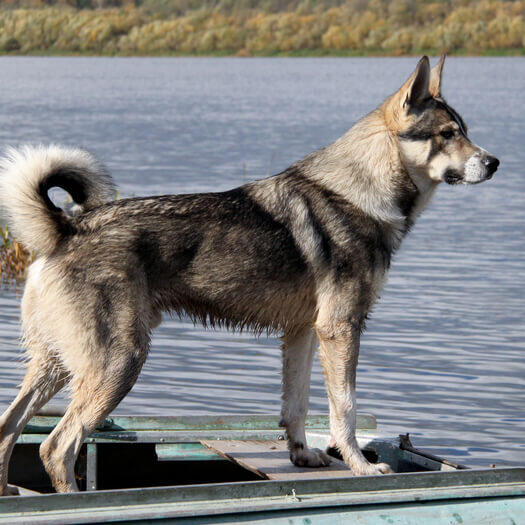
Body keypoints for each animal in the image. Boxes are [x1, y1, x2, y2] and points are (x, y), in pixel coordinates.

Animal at [0, 55, 500, 494]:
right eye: (447, 134)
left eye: (465, 132)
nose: (494, 162)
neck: (362, 190)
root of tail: (66, 228)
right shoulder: (341, 329)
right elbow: (345, 410)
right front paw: (360, 467)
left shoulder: (304, 332)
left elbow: (297, 406)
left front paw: (302, 455)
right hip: (118, 362)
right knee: (56, 446)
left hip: (56, 365)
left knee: (9, 430)